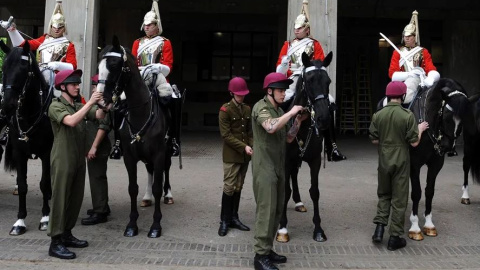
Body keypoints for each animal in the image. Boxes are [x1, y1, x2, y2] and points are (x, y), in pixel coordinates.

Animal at [0, 41, 54, 235]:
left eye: (24, 69)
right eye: (4, 68)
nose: (7, 105)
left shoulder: (47, 152)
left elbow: (44, 184)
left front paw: (45, 218)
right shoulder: (19, 153)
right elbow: (22, 185)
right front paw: (19, 221)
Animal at [97, 36, 167, 238]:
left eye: (114, 65)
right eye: (99, 66)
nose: (101, 100)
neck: (141, 112)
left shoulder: (159, 154)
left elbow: (158, 187)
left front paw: (156, 226)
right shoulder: (129, 156)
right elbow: (132, 188)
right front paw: (132, 224)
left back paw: (168, 196)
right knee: (150, 172)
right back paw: (147, 197)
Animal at [276, 51, 332, 242]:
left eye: (328, 81)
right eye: (309, 80)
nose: (323, 118)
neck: (302, 124)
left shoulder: (314, 161)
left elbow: (315, 191)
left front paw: (318, 229)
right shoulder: (285, 160)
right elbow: (285, 191)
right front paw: (282, 228)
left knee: (294, 175)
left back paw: (299, 202)